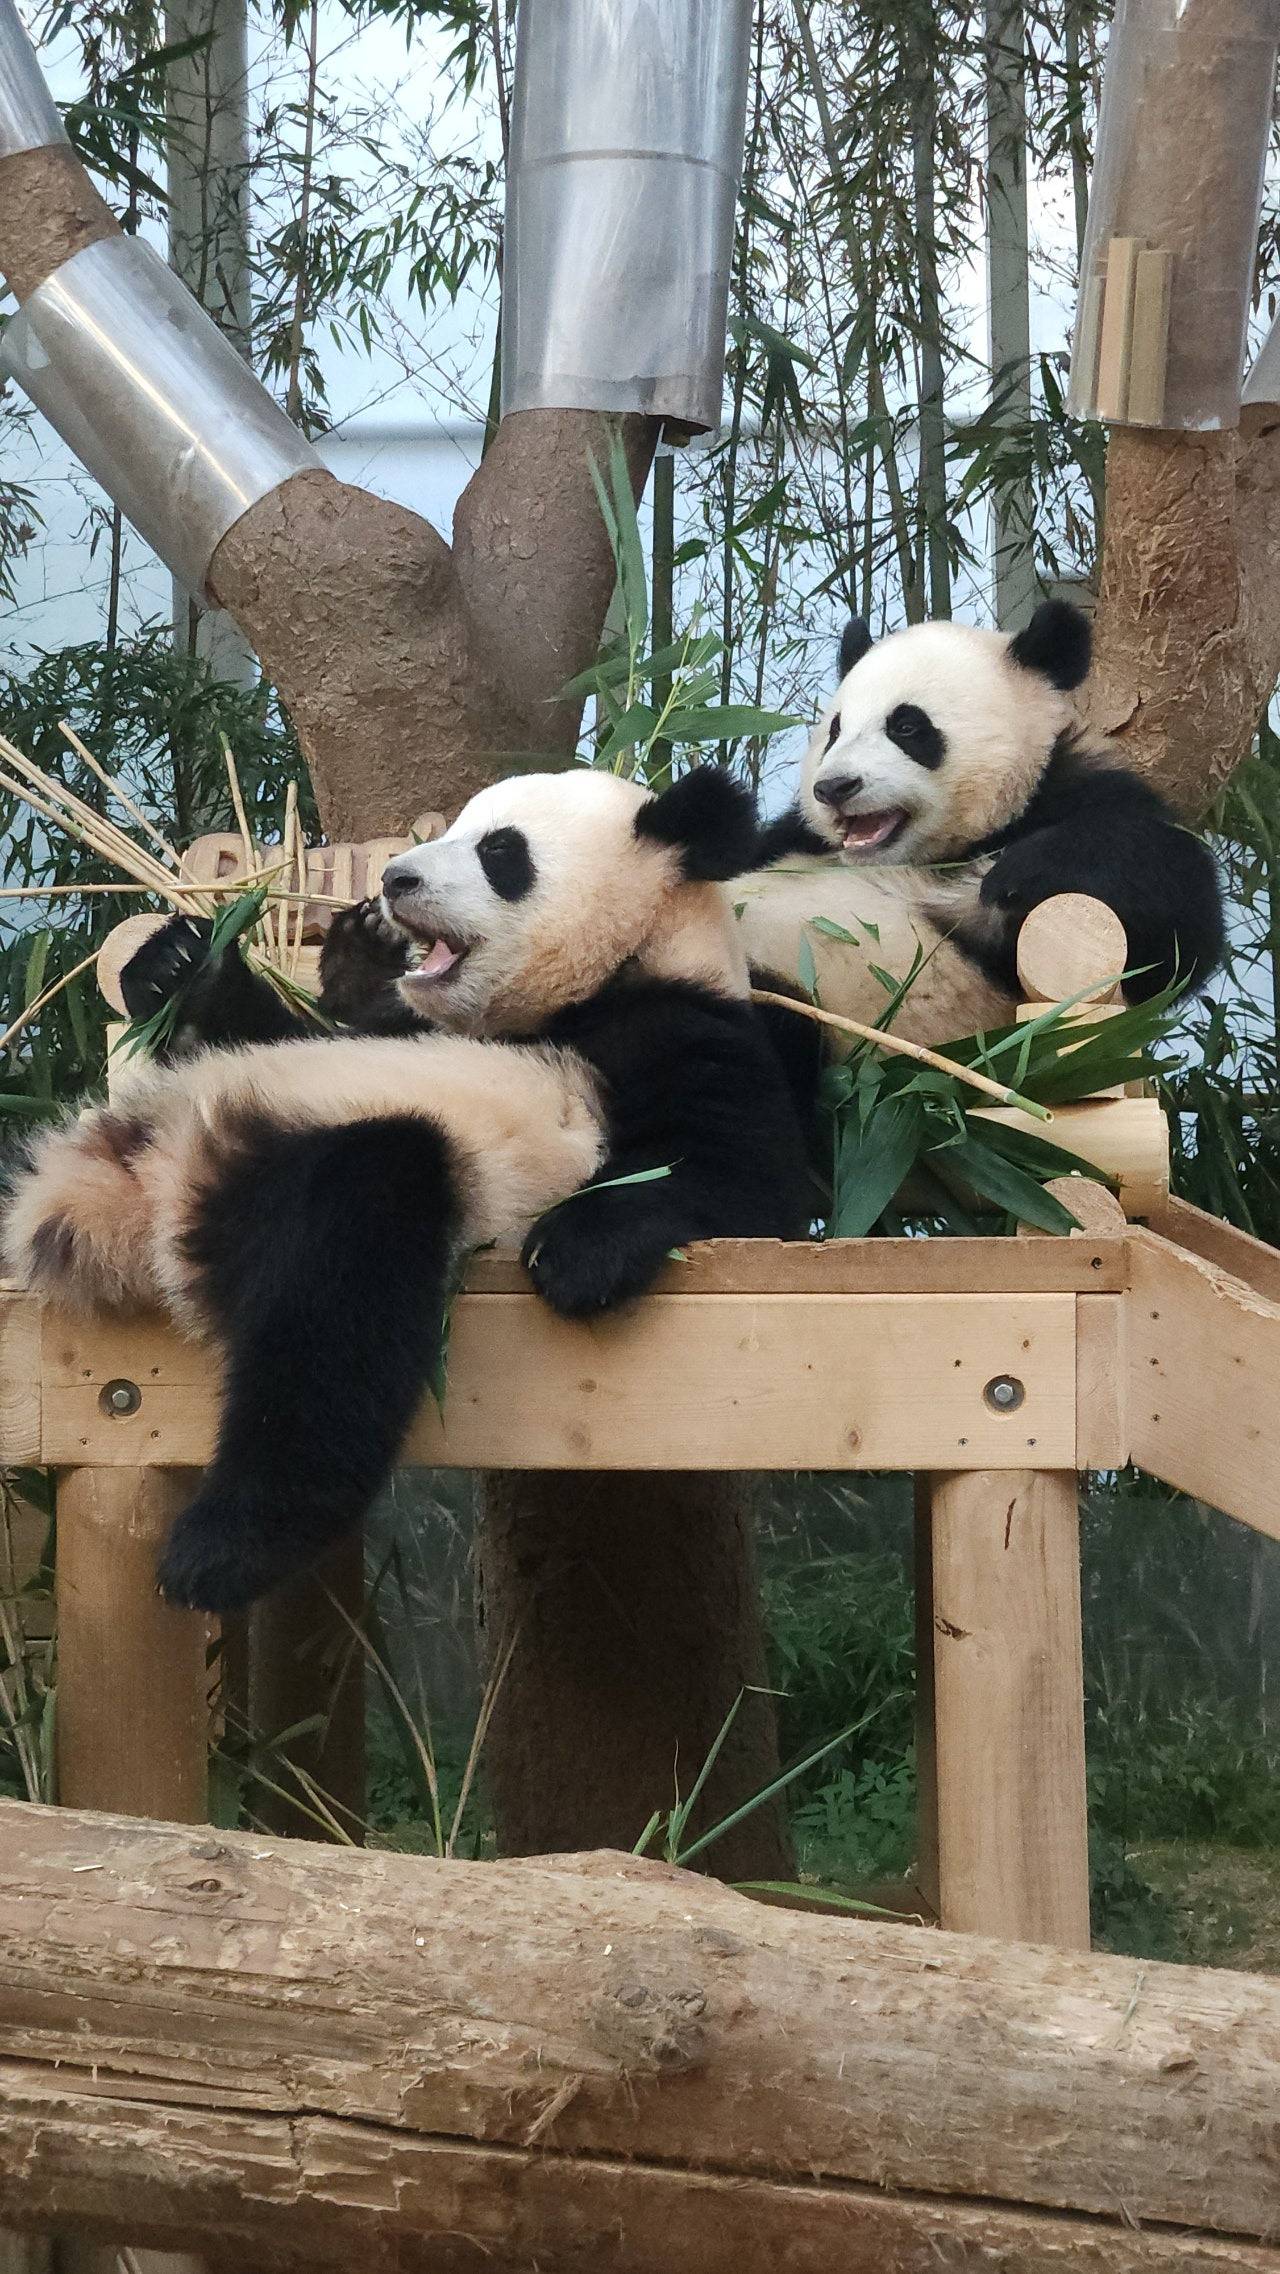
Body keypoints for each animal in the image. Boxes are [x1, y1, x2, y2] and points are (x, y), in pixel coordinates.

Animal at [5, 768, 809, 1619]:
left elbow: (740, 1172)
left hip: (304, 1199)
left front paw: (576, 1254)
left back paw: (225, 1548)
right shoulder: (388, 1028)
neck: (598, 983)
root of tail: (131, 1193)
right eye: (453, 827)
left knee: (342, 1290)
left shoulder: (684, 1025)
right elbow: (301, 1029)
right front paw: (196, 965)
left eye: (500, 851)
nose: (395, 880)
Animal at [736, 595, 1227, 1041]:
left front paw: (1018, 873)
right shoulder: (789, 837)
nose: (834, 787)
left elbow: (1178, 926)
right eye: (835, 730)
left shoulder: (1076, 796)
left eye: (907, 727)